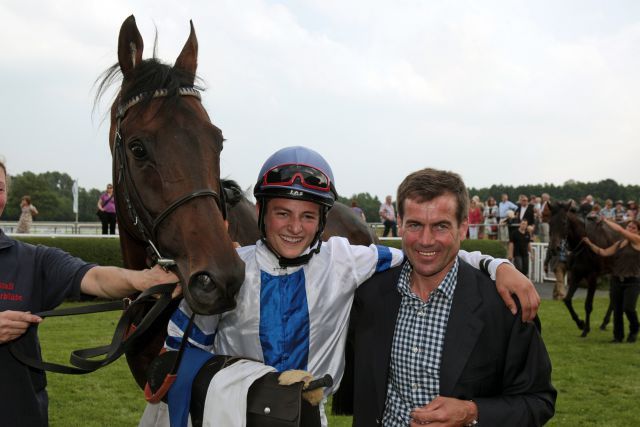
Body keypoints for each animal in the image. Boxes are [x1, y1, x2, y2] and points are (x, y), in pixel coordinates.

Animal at [548, 201, 616, 338]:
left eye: (564, 222)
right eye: (550, 222)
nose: (554, 248)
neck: (585, 244)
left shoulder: (593, 277)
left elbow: (588, 305)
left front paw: (586, 329)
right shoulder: (576, 274)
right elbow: (567, 300)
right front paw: (580, 323)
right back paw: (604, 323)